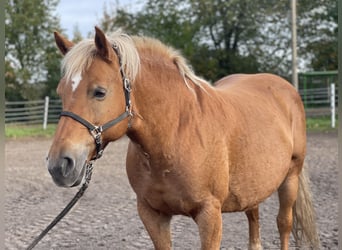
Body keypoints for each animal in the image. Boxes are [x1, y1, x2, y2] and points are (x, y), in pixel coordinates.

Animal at [46, 27, 320, 250]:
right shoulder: (152, 214)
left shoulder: (210, 216)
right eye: (61, 92)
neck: (174, 136)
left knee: (283, 223)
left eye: (99, 92)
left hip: (291, 177)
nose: (59, 165)